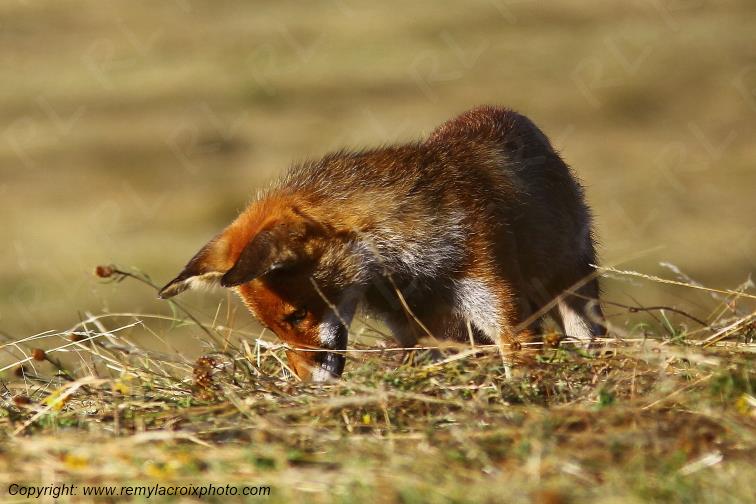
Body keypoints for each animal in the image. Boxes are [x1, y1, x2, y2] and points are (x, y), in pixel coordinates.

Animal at [159, 105, 605, 381]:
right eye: (272, 327)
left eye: (298, 315)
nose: (306, 384)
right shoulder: (414, 329)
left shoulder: (502, 306)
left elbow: (518, 361)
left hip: (574, 287)